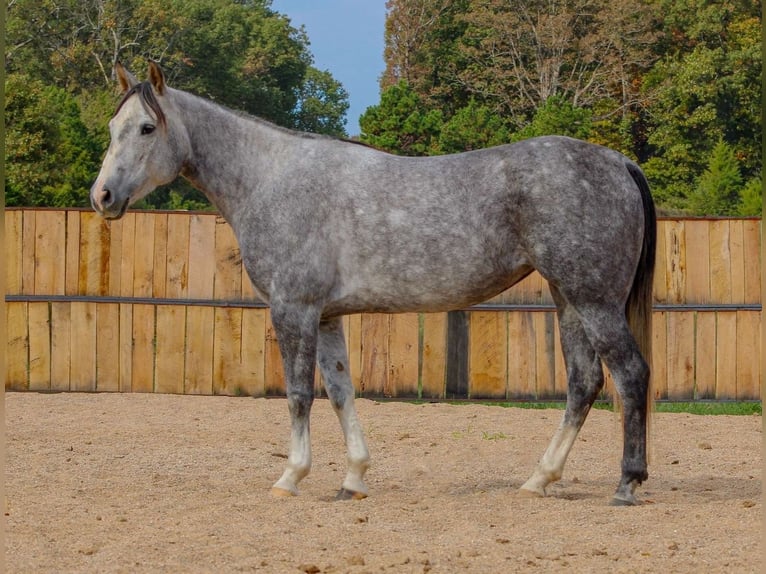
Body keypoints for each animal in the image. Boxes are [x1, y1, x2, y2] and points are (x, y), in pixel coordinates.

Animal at [91, 61, 656, 506]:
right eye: (114, 125)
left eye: (146, 128)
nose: (103, 196)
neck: (271, 178)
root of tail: (617, 162)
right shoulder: (327, 317)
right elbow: (342, 392)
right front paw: (353, 479)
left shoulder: (293, 310)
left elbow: (299, 394)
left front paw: (291, 477)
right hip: (569, 300)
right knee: (584, 382)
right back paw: (539, 479)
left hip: (594, 301)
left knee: (630, 374)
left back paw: (626, 483)